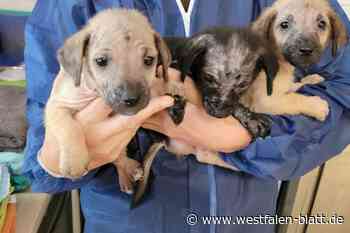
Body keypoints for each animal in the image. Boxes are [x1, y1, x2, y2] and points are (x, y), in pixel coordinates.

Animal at [44, 8, 174, 195]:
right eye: (101, 61)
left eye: (149, 60)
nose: (131, 99)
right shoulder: (57, 105)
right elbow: (69, 126)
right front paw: (74, 162)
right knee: (117, 158)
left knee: (119, 157)